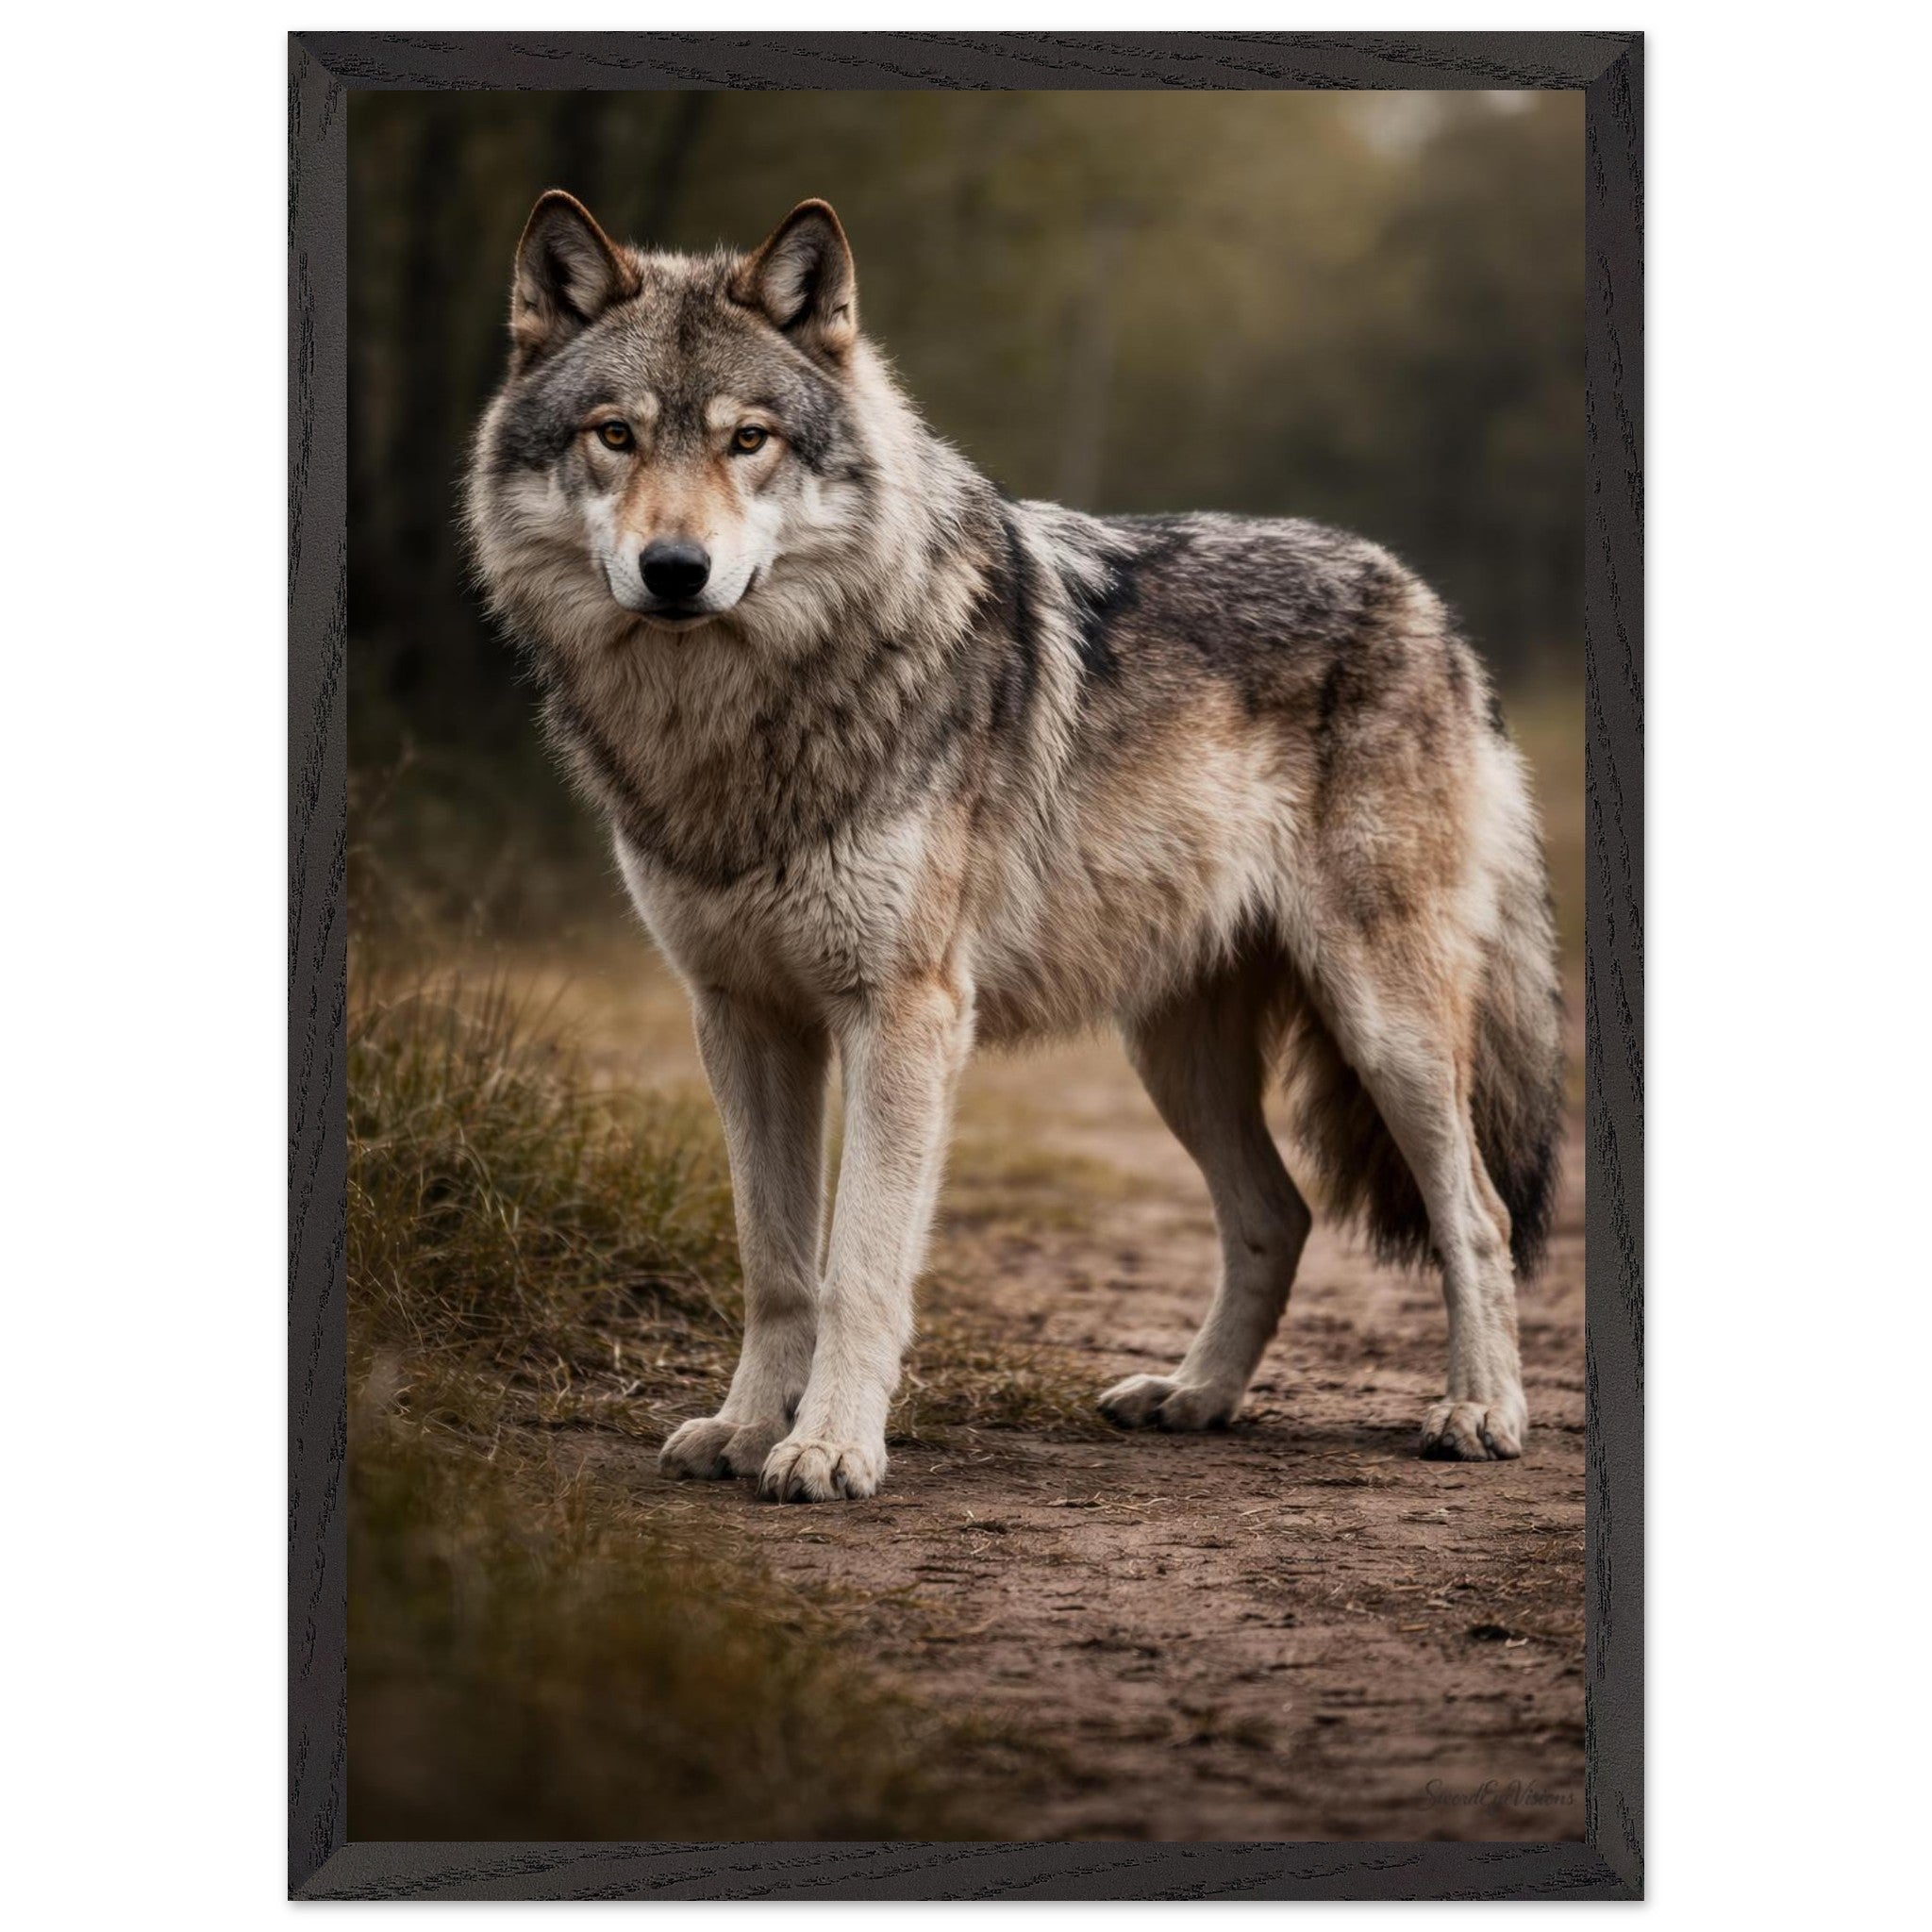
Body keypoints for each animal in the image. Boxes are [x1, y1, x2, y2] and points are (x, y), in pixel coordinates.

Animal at [465, 192, 1565, 1502]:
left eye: (748, 441)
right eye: (616, 435)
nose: (675, 570)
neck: (737, 722)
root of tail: (1427, 605)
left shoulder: (904, 1015)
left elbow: (857, 1265)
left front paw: (828, 1446)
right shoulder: (739, 1016)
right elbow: (774, 1263)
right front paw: (741, 1429)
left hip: (1382, 1024)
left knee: (1477, 1216)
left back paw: (1480, 1410)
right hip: (1174, 1053)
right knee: (1278, 1215)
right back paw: (1193, 1395)